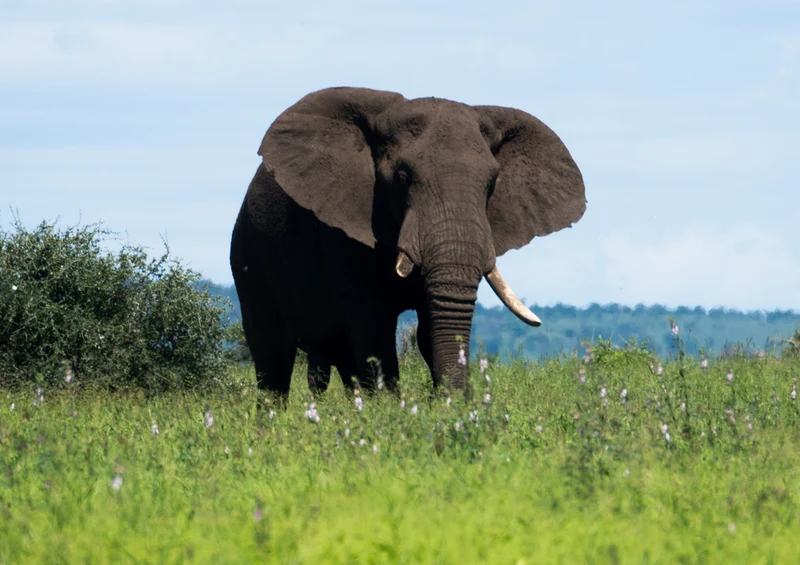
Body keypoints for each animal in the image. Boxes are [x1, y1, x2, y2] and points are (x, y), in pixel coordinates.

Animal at [230, 86, 586, 400]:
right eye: (402, 177)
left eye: (493, 184)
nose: (456, 401)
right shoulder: (340, 233)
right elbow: (373, 328)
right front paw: (391, 413)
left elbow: (429, 328)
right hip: (248, 254)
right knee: (272, 358)